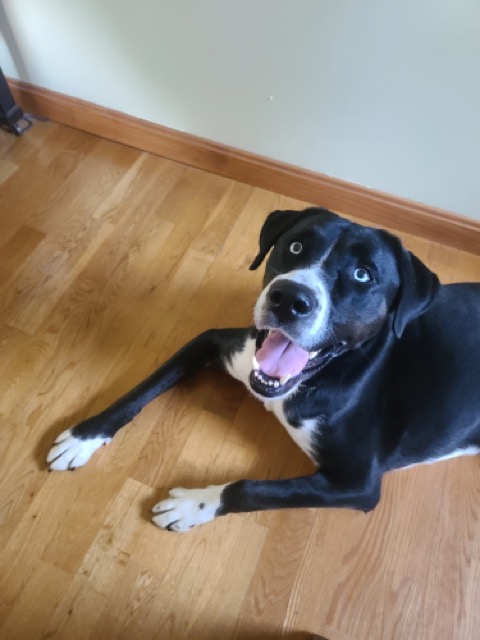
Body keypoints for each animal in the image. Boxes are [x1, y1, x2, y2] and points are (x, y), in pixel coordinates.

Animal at [47, 209, 480, 528]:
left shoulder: (357, 483)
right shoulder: (213, 342)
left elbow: (250, 488)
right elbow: (144, 387)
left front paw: (194, 504)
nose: (289, 298)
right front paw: (86, 435)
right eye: (296, 245)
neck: (312, 380)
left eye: (363, 274)